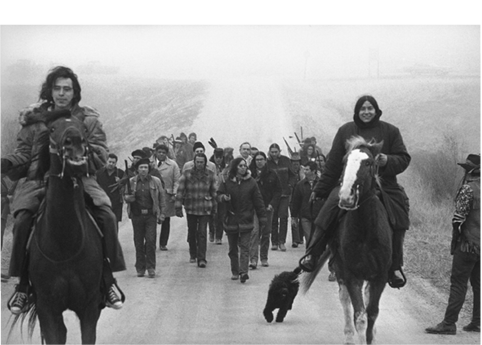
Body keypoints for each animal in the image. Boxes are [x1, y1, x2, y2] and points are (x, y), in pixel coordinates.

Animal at [304, 137, 394, 344]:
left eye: (368, 163)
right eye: (344, 162)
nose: (346, 196)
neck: (366, 232)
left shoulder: (380, 277)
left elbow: (372, 313)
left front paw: (371, 337)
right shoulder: (352, 275)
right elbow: (359, 316)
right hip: (340, 269)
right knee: (344, 301)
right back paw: (348, 336)